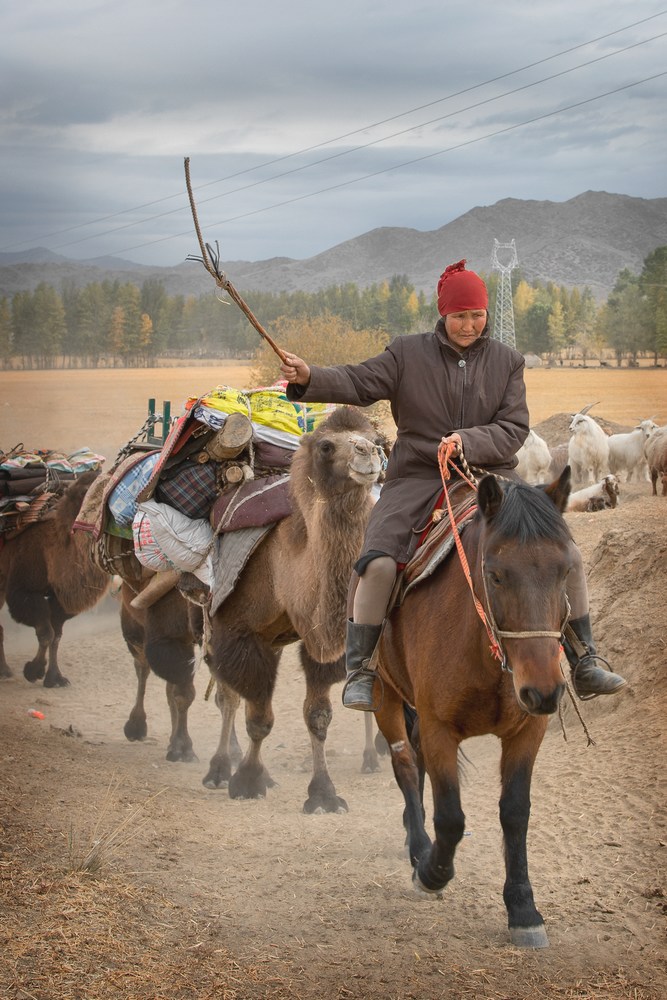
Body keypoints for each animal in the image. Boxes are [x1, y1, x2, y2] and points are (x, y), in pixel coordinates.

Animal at [376, 460, 576, 944]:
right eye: (496, 574)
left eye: (566, 571)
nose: (544, 691)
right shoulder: (438, 728)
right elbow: (451, 817)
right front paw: (432, 872)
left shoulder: (528, 730)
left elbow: (516, 812)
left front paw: (523, 908)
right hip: (382, 695)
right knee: (405, 764)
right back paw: (419, 848)